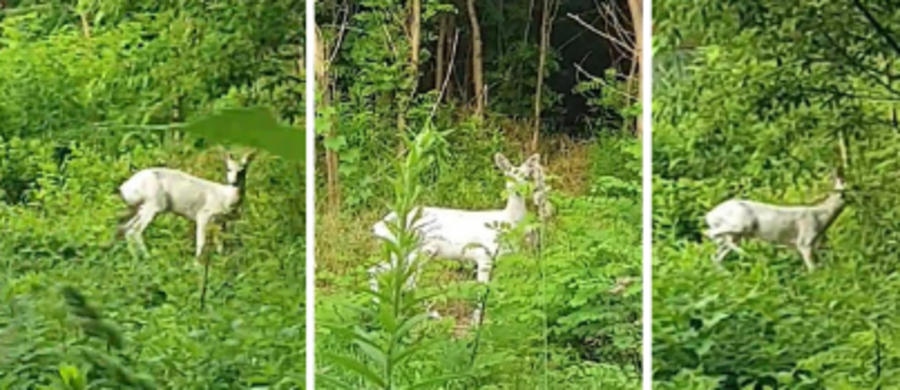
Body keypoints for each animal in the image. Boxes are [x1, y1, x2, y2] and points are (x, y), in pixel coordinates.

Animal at [116, 151, 256, 260]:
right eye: (228, 169)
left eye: (242, 170)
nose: (234, 182)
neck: (226, 198)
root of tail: (124, 187)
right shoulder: (203, 215)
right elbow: (201, 242)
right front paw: (197, 265)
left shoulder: (220, 222)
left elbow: (220, 244)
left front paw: (221, 263)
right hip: (153, 205)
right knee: (135, 230)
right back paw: (147, 258)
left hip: (137, 207)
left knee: (126, 228)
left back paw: (136, 259)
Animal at [368, 152, 548, 322]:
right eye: (508, 176)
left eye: (527, 176)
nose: (519, 190)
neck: (506, 222)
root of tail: (381, 225)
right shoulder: (484, 256)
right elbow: (482, 292)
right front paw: (476, 325)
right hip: (411, 249)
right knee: (387, 274)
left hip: (418, 252)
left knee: (401, 279)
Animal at [708, 174, 848, 272]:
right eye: (845, 191)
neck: (821, 218)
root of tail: (710, 215)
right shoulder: (804, 241)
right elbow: (812, 268)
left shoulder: (808, 244)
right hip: (741, 224)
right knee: (710, 234)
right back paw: (749, 255)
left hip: (737, 234)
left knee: (717, 255)